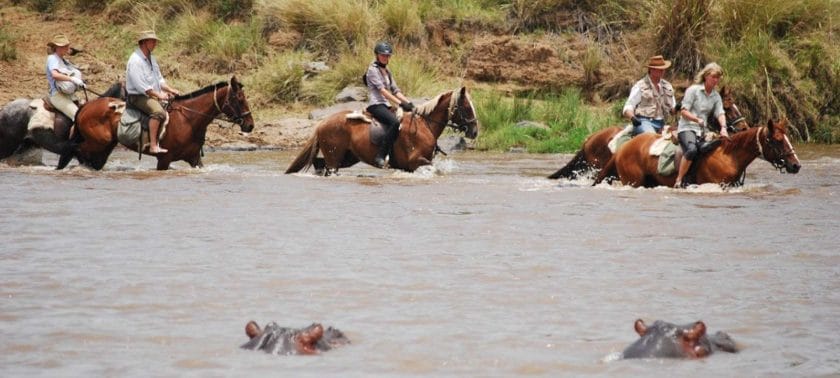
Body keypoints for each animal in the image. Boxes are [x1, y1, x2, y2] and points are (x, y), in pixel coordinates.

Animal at [59, 76, 253, 171]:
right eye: (239, 99)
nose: (250, 125)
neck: (189, 119)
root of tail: (85, 106)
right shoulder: (165, 159)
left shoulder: (194, 159)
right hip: (98, 143)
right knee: (75, 150)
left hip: (103, 146)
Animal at [284, 85, 476, 174]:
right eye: (466, 107)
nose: (474, 131)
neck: (424, 125)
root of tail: (322, 123)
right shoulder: (416, 161)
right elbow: (435, 168)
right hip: (335, 156)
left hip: (348, 157)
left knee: (319, 164)